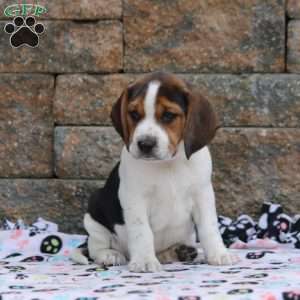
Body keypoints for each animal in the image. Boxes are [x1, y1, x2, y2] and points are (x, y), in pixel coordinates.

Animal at [72, 71, 239, 272]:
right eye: (134, 114)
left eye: (168, 115)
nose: (145, 144)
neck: (168, 163)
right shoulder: (134, 198)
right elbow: (142, 232)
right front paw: (144, 260)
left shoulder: (203, 194)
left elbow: (209, 226)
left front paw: (218, 254)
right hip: (94, 215)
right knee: (96, 246)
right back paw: (110, 255)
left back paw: (180, 252)